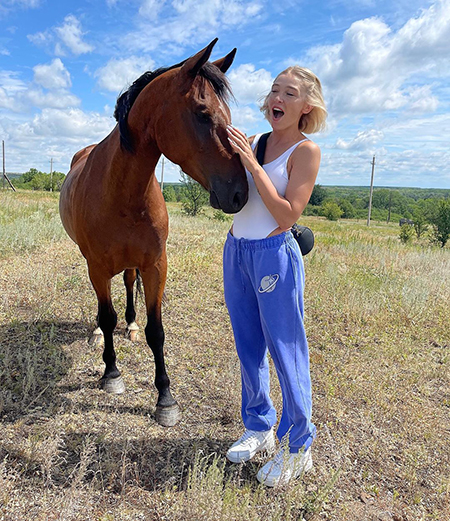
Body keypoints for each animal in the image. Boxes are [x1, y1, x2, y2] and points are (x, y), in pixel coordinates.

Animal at [58, 38, 248, 424]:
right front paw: (112, 374)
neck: (122, 191)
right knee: (105, 307)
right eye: (203, 113)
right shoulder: (97, 266)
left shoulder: (156, 264)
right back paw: (100, 333)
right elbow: (106, 314)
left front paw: (165, 399)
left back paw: (129, 327)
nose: (240, 191)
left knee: (129, 284)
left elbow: (155, 331)